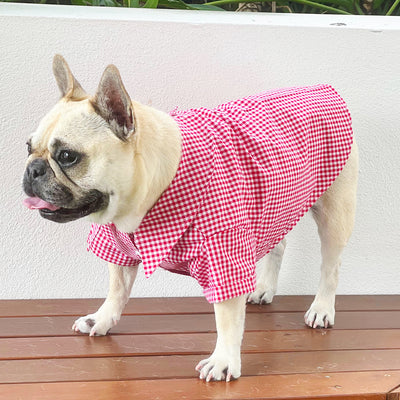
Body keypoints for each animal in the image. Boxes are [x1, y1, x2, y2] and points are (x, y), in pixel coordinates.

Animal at [23, 54, 358, 382]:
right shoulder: (117, 244)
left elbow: (226, 316)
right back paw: (264, 288)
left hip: (334, 211)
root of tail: (322, 89)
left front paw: (224, 360)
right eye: (28, 147)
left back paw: (322, 308)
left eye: (68, 156)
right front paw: (102, 320)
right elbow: (117, 289)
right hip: (276, 203)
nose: (32, 169)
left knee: (331, 265)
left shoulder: (224, 253)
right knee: (278, 242)